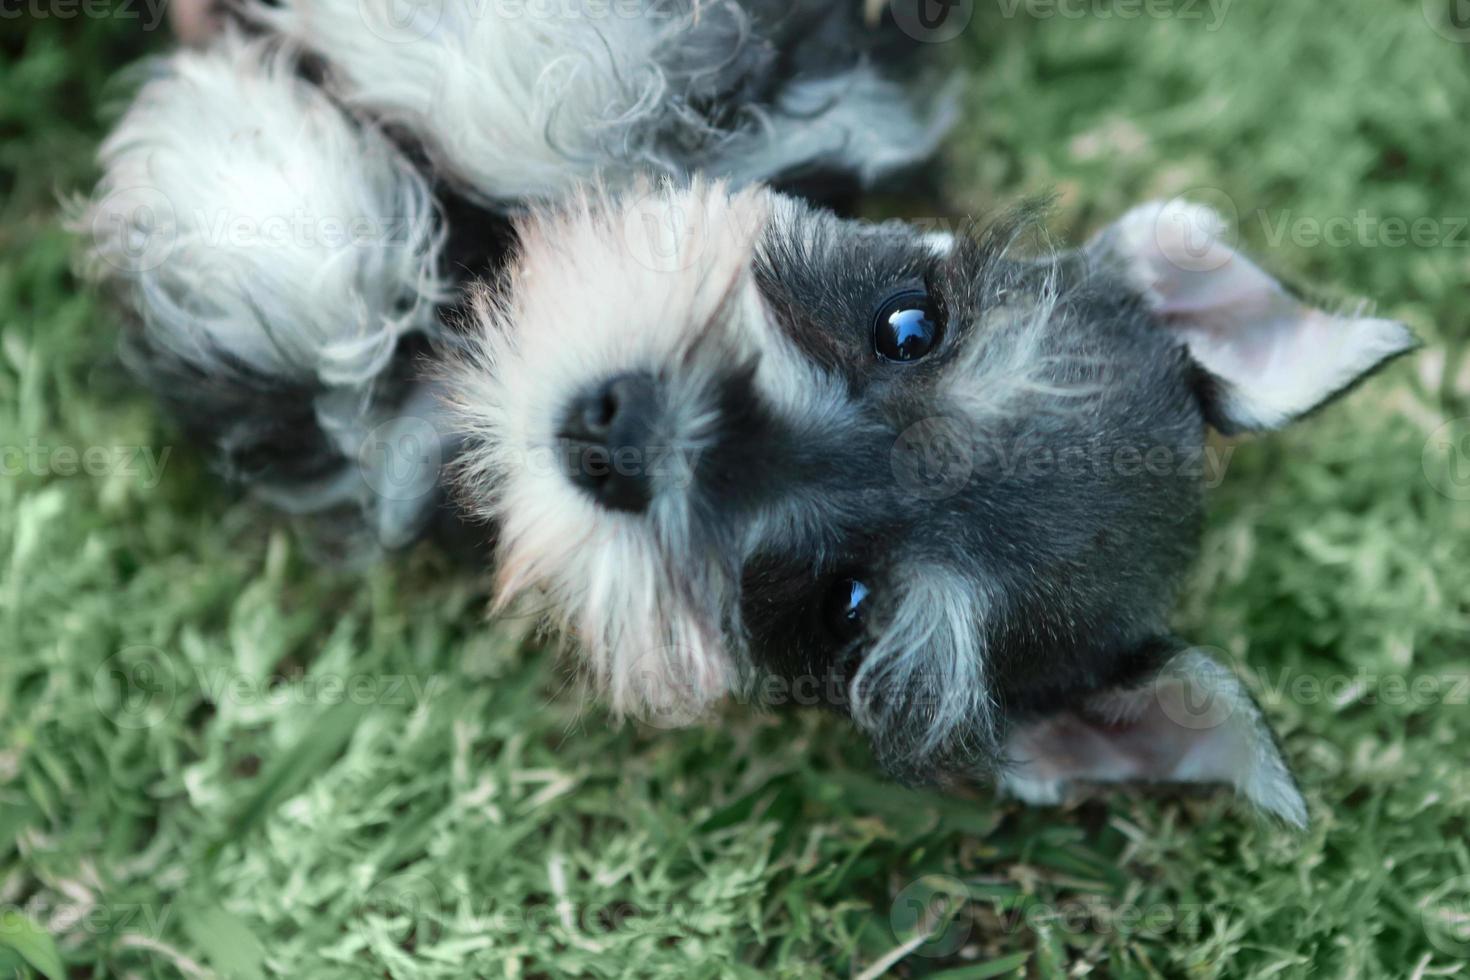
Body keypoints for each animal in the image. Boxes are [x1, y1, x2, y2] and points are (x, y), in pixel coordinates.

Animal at [80, 1, 1411, 828]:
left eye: (847, 605)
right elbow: (593, 76)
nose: (610, 432)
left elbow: (358, 401)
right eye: (910, 324)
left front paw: (245, 181)